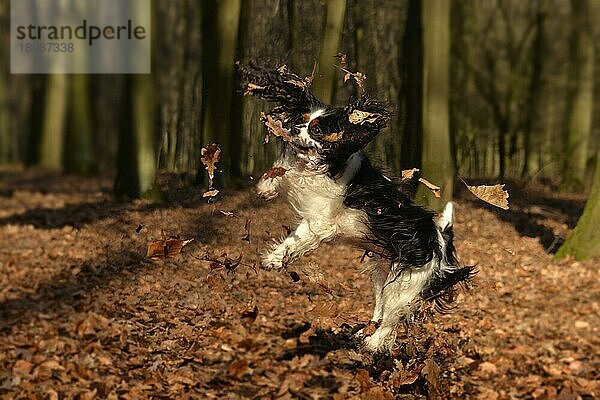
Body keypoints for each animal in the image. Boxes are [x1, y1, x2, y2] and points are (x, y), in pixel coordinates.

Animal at [239, 63, 474, 354]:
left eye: (317, 130)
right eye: (300, 120)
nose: (294, 129)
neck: (324, 166)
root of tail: (440, 241)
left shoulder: (320, 221)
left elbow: (296, 240)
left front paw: (273, 259)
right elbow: (282, 173)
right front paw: (266, 187)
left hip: (406, 283)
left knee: (391, 319)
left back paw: (373, 344)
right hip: (383, 272)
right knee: (380, 309)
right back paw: (365, 332)